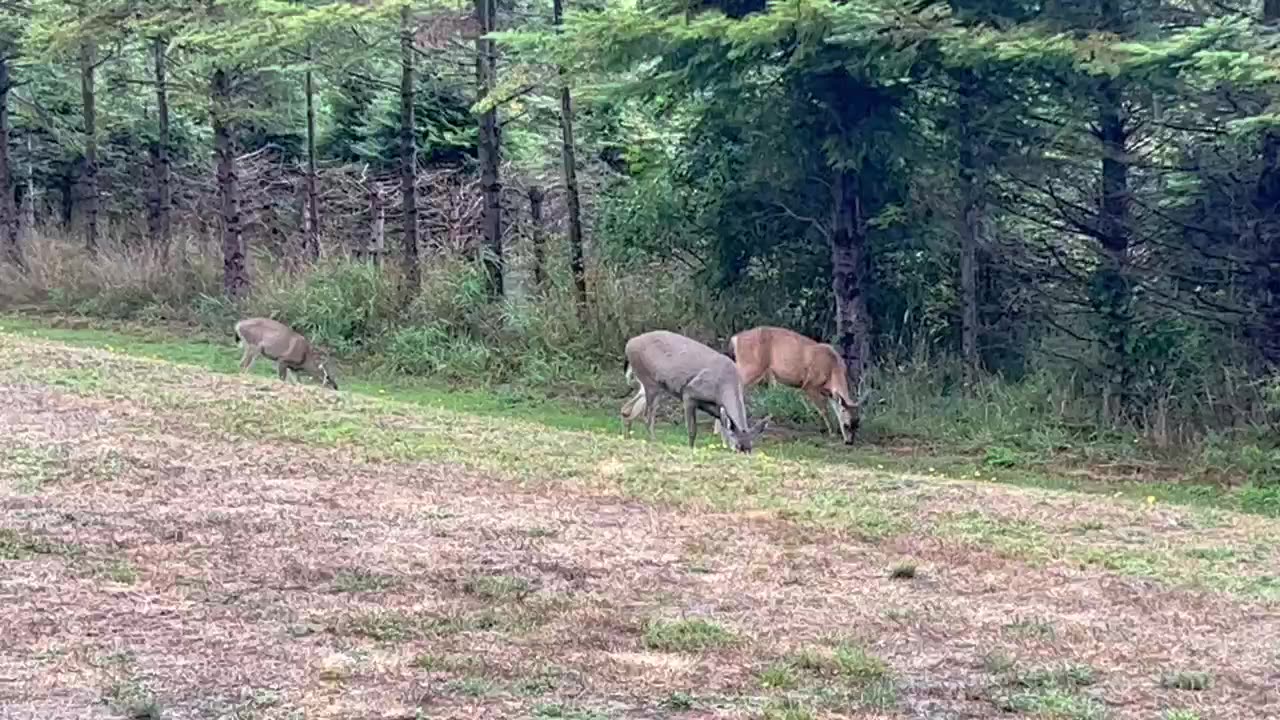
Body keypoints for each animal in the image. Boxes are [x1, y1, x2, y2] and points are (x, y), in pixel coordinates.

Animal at [619, 330, 768, 450]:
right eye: (738, 446)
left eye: (750, 448)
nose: (742, 452)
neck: (724, 386)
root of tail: (628, 344)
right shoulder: (689, 393)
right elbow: (692, 430)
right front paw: (691, 448)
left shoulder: (716, 406)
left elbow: (723, 427)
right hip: (650, 382)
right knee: (647, 417)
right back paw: (654, 441)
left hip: (652, 385)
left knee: (627, 409)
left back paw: (627, 437)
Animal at [721, 325, 860, 443]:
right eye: (846, 425)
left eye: (857, 424)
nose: (849, 442)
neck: (833, 370)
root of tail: (735, 339)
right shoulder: (810, 385)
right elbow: (823, 410)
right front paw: (830, 432)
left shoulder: (829, 393)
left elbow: (833, 409)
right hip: (751, 366)